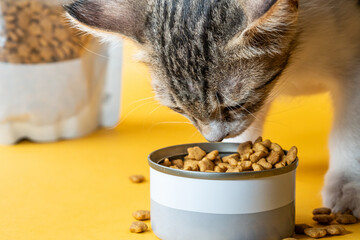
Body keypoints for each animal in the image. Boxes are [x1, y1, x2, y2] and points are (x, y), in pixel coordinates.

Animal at [64, 0, 360, 218]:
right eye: (178, 109)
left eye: (234, 104)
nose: (213, 138)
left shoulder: (354, 70)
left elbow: (348, 132)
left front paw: (347, 184)